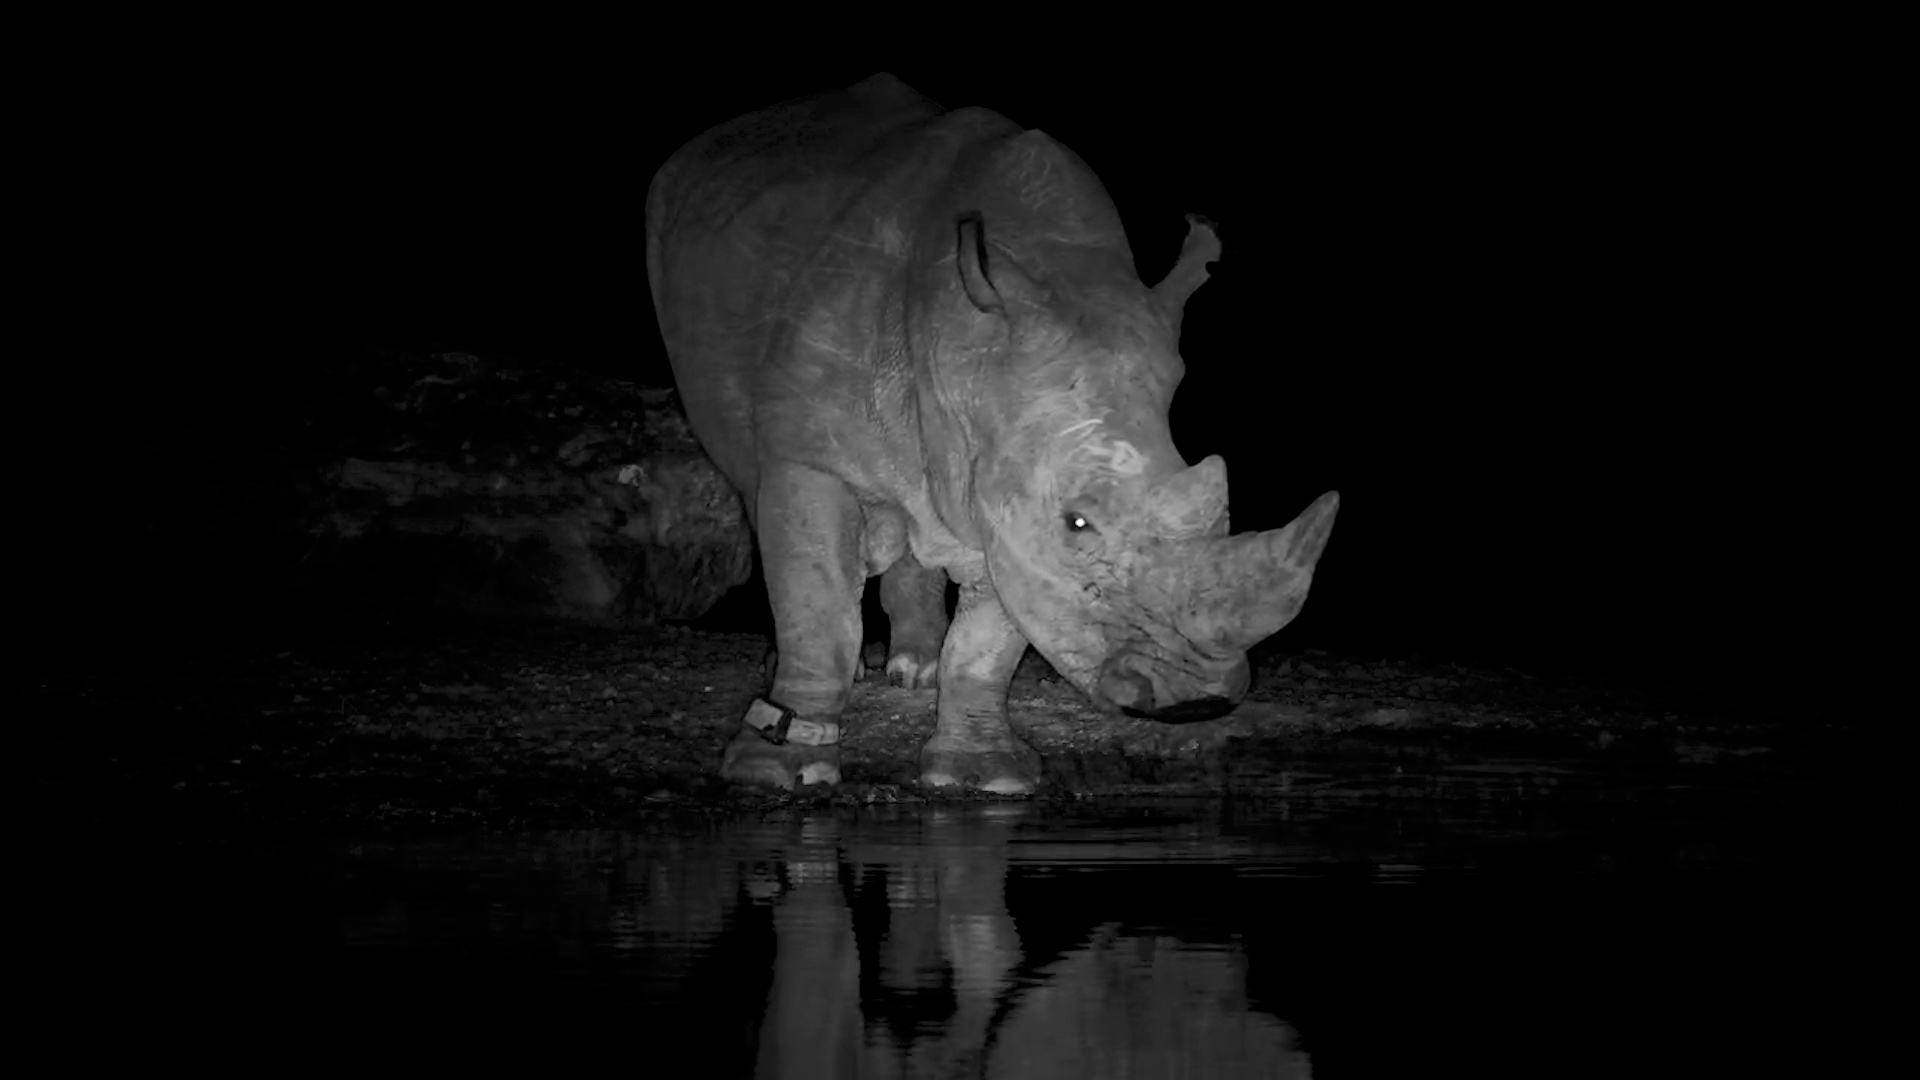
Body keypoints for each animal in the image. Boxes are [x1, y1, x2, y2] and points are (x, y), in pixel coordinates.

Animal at [646, 74, 1338, 793]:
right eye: (1078, 523)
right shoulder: (814, 455)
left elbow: (987, 643)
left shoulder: (1013, 483)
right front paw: (777, 767)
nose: (1195, 702)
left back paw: (915, 671)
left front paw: (984, 774)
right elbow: (817, 605)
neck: (963, 354)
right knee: (753, 489)